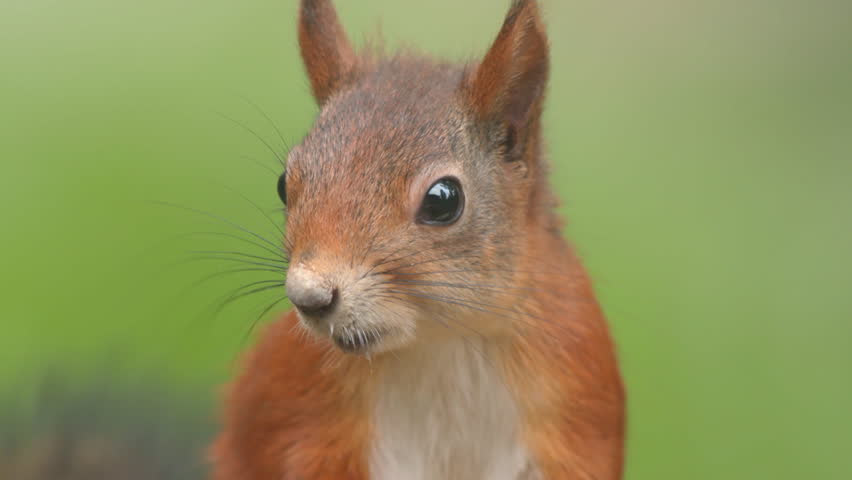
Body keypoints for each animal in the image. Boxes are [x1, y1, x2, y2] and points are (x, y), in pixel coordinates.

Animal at [211, 0, 624, 480]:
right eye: (283, 184)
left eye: (443, 200)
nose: (308, 297)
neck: (442, 343)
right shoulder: (310, 423)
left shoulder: (575, 412)